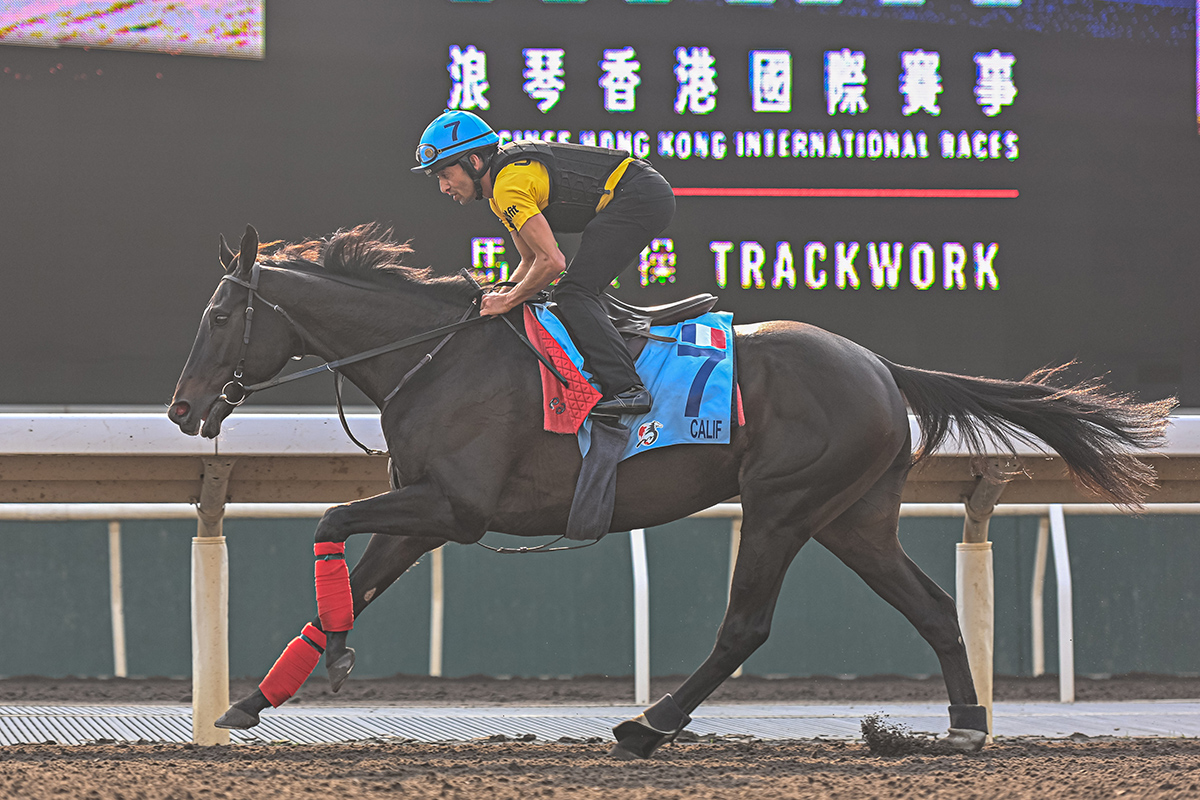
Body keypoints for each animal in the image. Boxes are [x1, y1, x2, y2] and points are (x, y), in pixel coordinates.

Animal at [169, 224, 1171, 758]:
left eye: (218, 316)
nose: (181, 410)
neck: (436, 356)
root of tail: (882, 366)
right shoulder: (423, 512)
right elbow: (349, 576)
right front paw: (260, 696)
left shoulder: (457, 510)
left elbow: (330, 519)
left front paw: (323, 661)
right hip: (854, 516)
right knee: (931, 606)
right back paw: (964, 727)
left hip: (783, 505)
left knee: (746, 625)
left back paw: (649, 725)